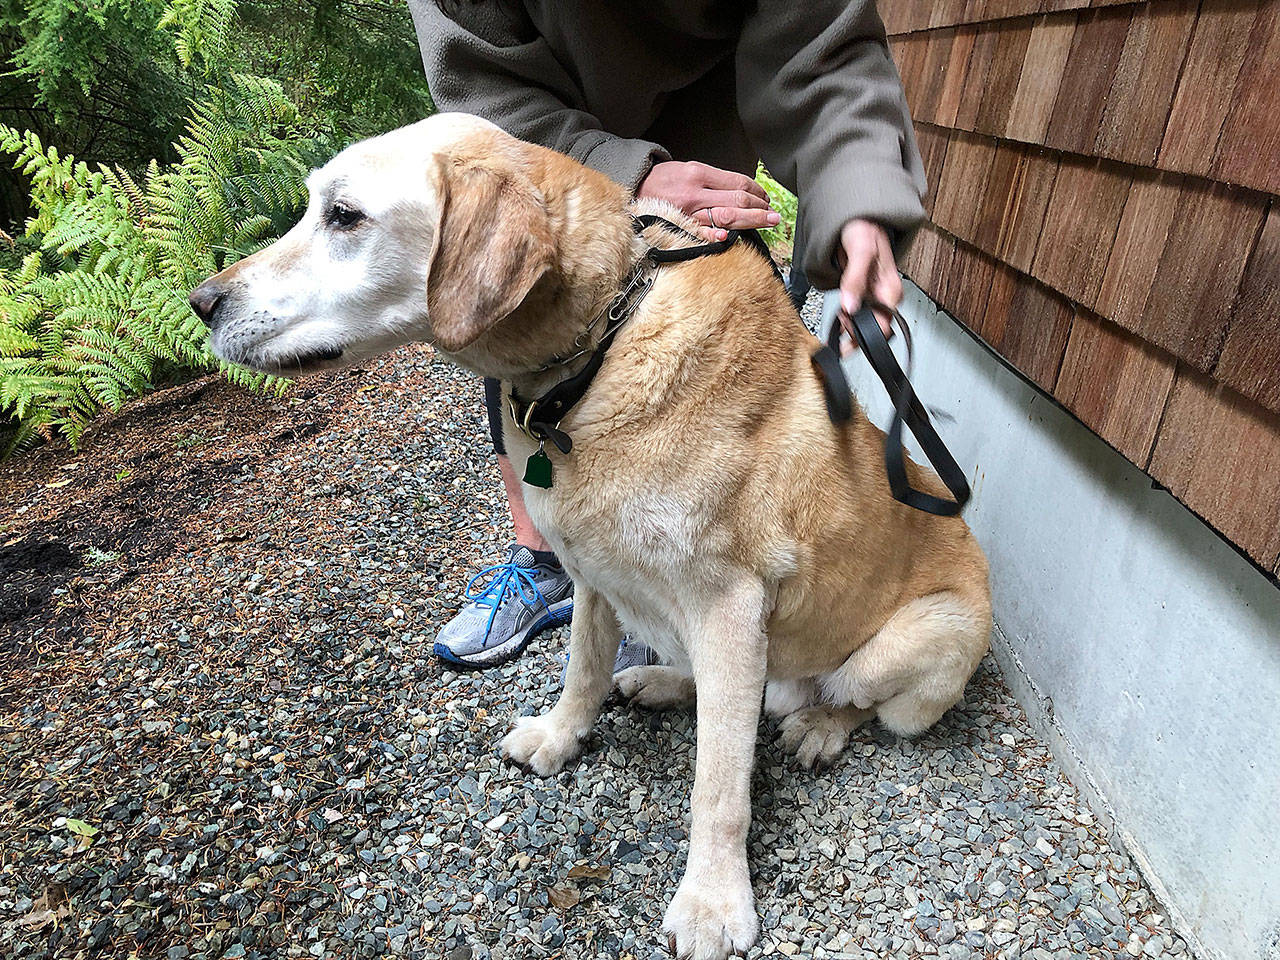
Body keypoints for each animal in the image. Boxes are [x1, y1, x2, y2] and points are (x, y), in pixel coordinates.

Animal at [192, 114, 988, 960]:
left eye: (344, 216)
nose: (202, 301)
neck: (600, 348)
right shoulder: (593, 576)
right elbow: (583, 669)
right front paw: (561, 735)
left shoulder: (731, 606)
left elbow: (719, 785)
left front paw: (713, 901)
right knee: (734, 692)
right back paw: (666, 682)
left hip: (918, 645)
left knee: (838, 701)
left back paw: (817, 726)